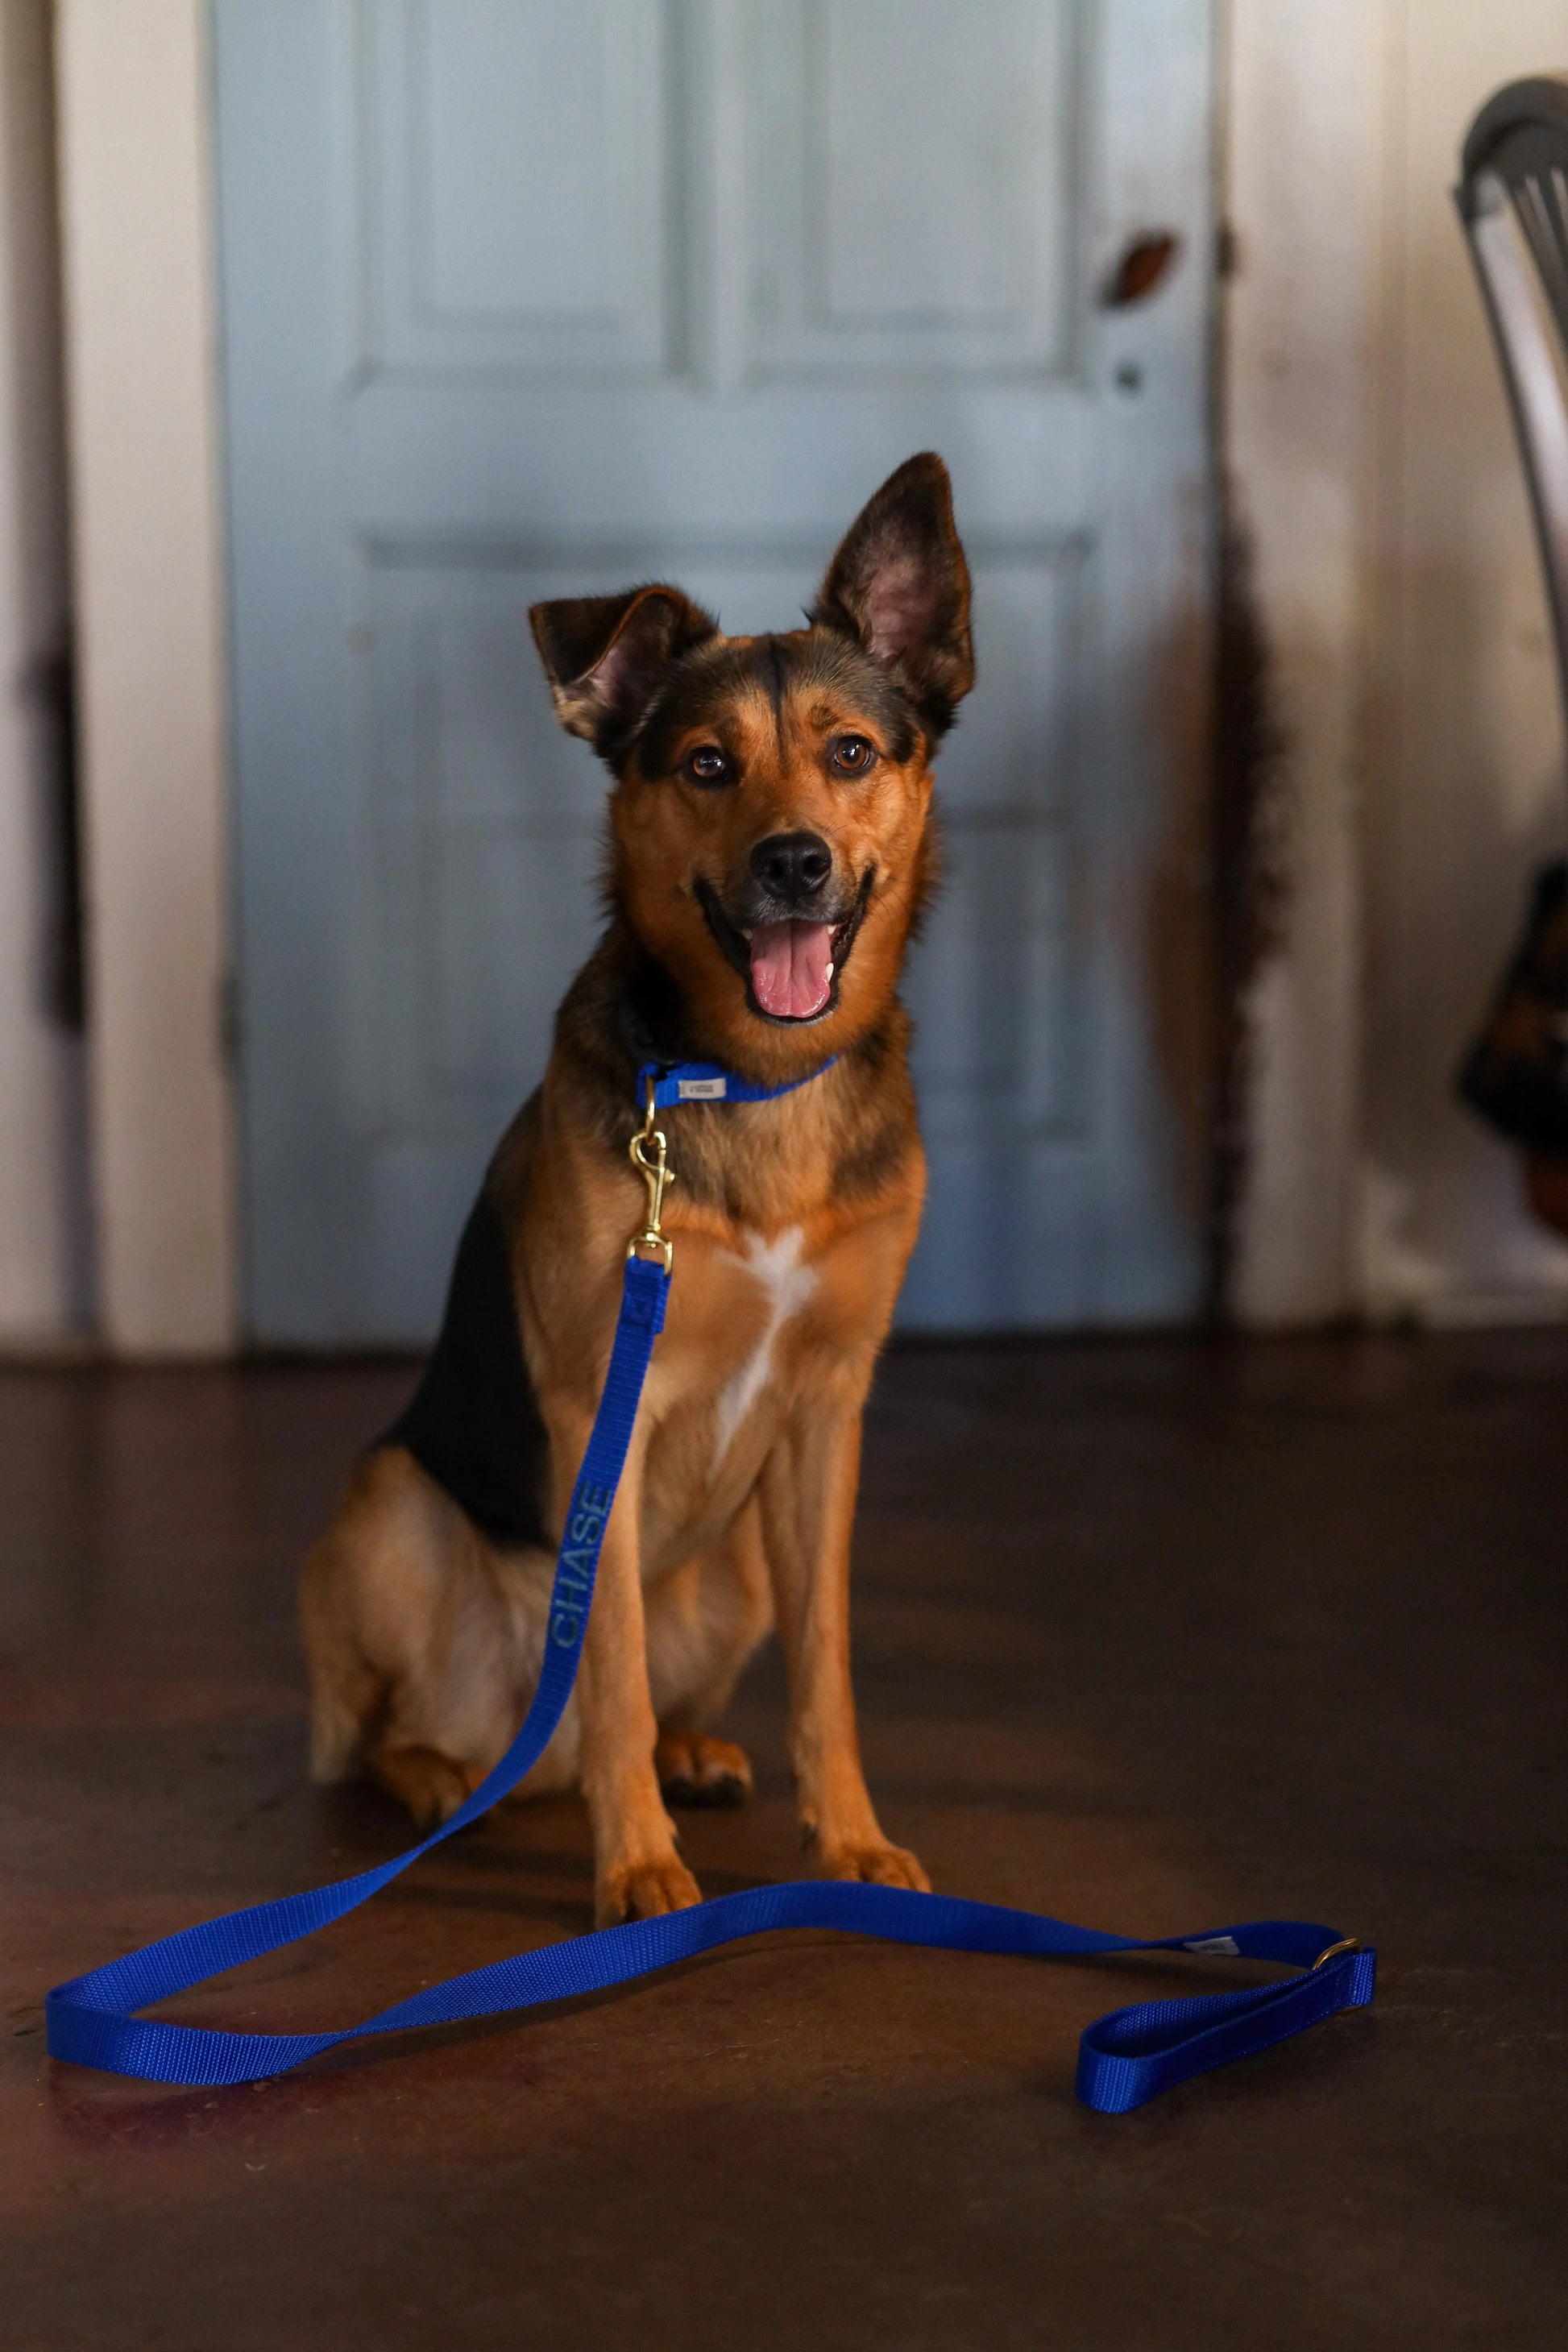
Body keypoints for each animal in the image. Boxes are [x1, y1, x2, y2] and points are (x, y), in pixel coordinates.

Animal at [301, 449, 973, 1919]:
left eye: (852, 752)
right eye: (707, 764)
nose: (793, 861)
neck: (750, 1082)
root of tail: (519, 1749)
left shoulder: (828, 1414)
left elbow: (828, 1668)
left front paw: (847, 1839)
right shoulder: (598, 1406)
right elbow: (602, 1664)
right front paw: (640, 1871)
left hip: (735, 1568)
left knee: (661, 1688)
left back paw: (692, 1750)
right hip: (387, 1509)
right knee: (388, 1729)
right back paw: (442, 1777)